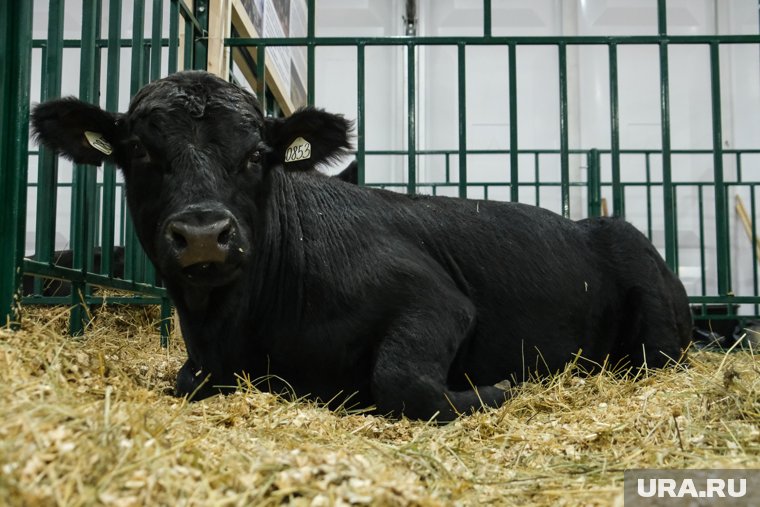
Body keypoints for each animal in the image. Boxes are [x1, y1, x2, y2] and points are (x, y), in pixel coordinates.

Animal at [32, 70, 692, 420]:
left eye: (257, 155)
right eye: (140, 151)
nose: (202, 234)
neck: (232, 331)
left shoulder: (438, 300)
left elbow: (401, 381)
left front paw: (495, 389)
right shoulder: (200, 368)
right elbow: (185, 381)